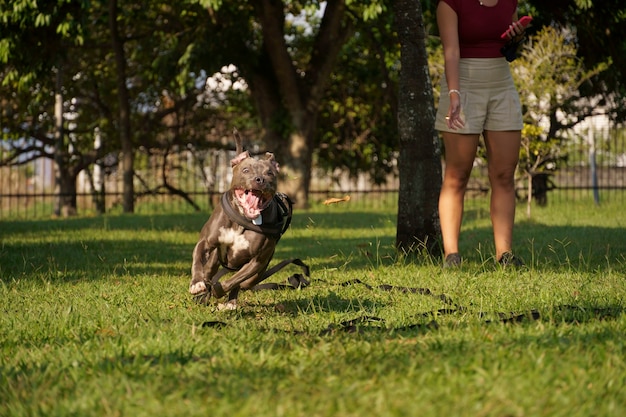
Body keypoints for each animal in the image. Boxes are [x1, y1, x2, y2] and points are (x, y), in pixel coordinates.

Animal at [188, 130, 292, 308]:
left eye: (269, 173)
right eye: (245, 170)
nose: (260, 179)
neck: (243, 220)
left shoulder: (256, 261)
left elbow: (234, 281)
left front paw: (220, 291)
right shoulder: (206, 242)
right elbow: (197, 260)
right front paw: (197, 284)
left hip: (256, 272)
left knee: (242, 282)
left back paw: (229, 301)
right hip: (215, 259)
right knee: (208, 272)